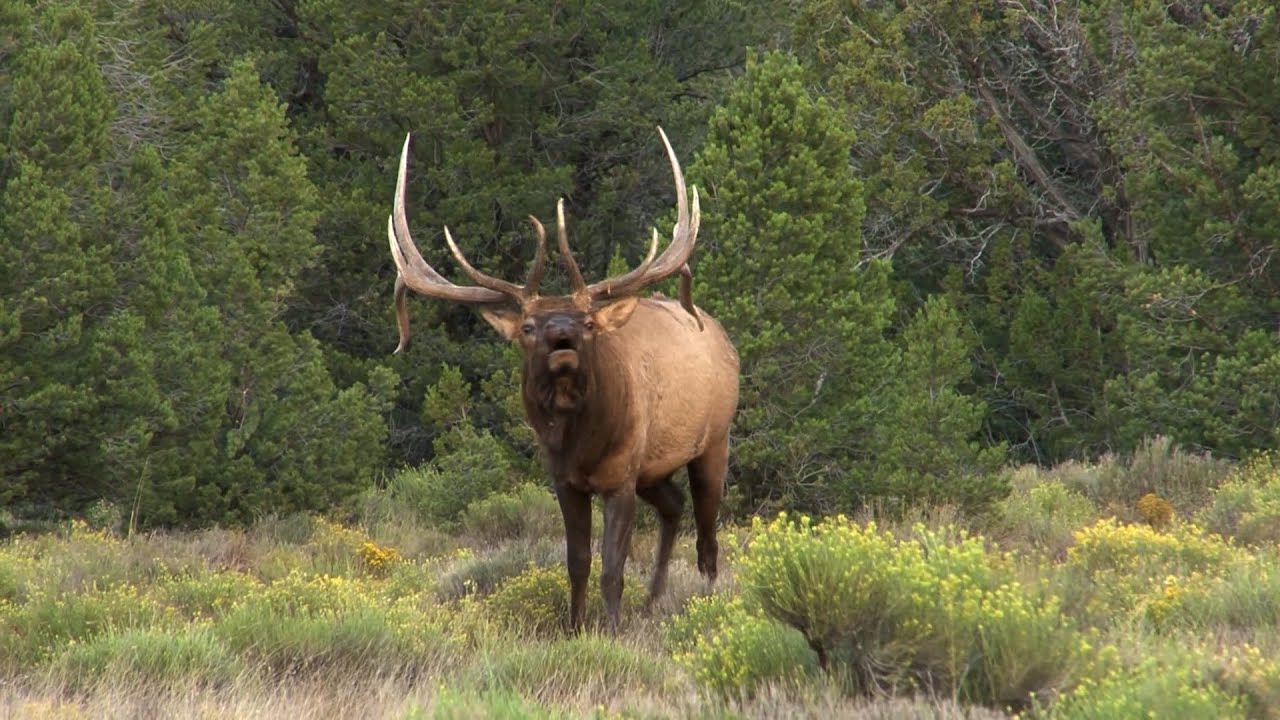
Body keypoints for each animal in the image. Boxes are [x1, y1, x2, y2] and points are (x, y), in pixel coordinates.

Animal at [384, 127, 739, 633]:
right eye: (528, 327)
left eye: (588, 322)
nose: (562, 336)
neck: (581, 444)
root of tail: (722, 335)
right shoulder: (566, 480)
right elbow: (577, 563)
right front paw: (574, 628)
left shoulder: (619, 477)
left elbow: (612, 567)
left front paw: (611, 630)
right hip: (654, 467)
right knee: (673, 506)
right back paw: (653, 601)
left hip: (714, 440)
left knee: (708, 538)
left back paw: (705, 603)